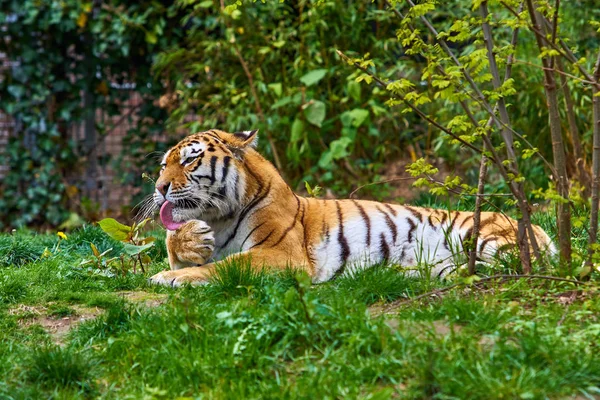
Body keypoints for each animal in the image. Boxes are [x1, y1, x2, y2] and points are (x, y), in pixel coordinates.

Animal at [148, 130, 556, 286]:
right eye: (163, 164)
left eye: (189, 159)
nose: (159, 188)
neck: (219, 215)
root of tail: (538, 227)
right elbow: (171, 244)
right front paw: (190, 241)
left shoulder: (281, 253)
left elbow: (226, 266)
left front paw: (168, 278)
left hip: (483, 236)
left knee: (519, 266)